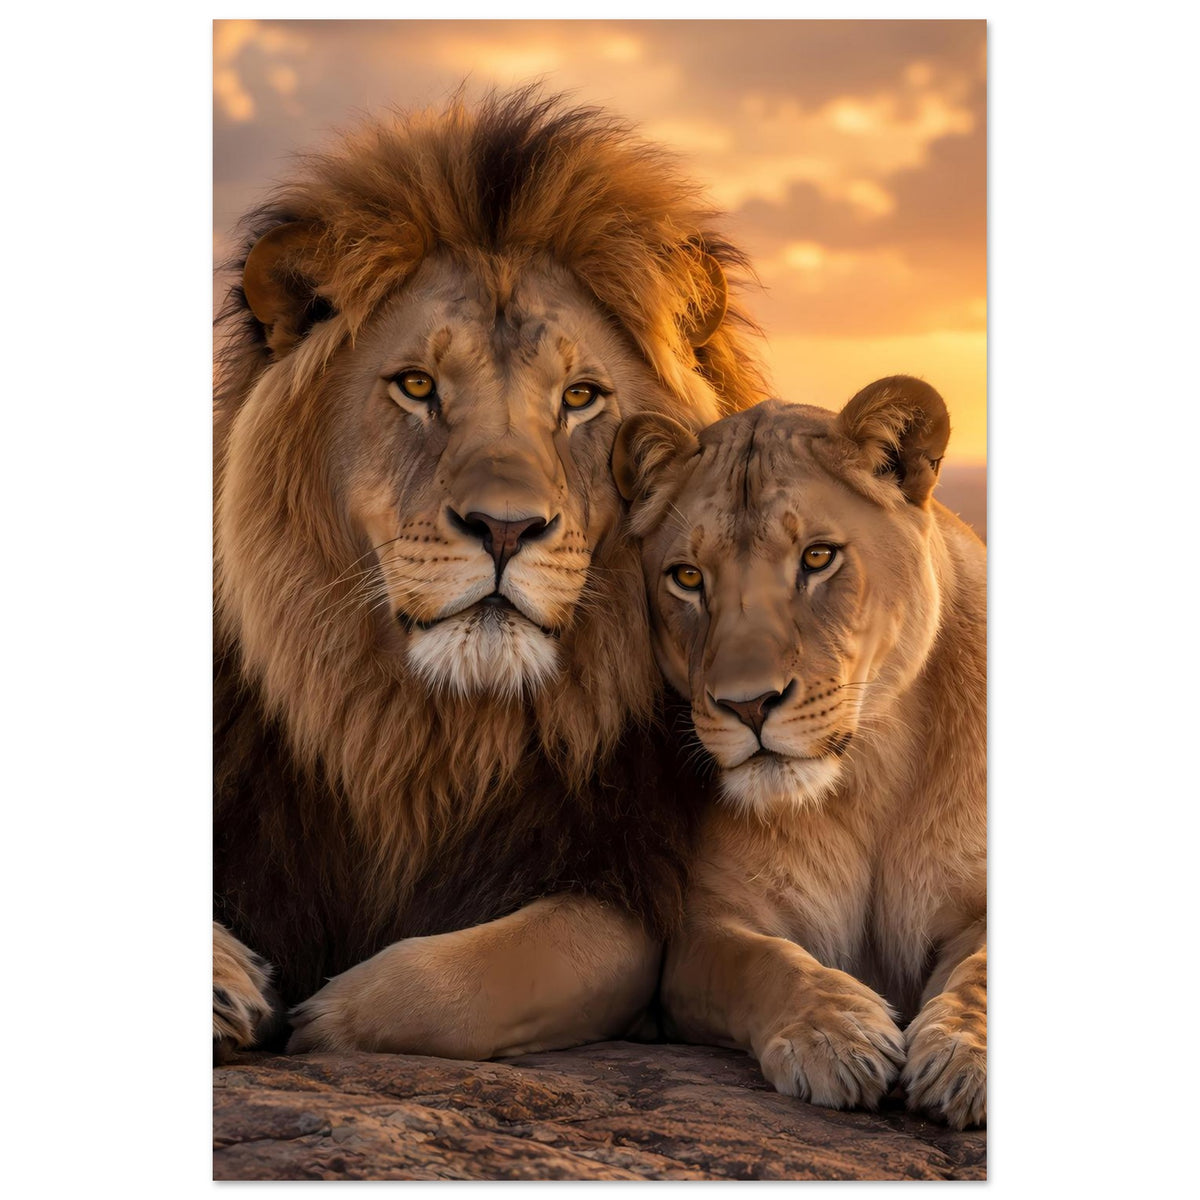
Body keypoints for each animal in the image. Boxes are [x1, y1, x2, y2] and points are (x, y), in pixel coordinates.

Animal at [212, 88, 768, 1060]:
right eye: (416, 386)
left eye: (580, 398)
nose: (505, 528)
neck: (426, 741)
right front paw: (223, 987)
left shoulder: (622, 877)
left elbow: (488, 975)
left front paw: (327, 1016)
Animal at [612, 377, 986, 1128]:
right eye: (687, 577)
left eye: (818, 557)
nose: (749, 705)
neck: (869, 775)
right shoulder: (698, 934)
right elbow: (763, 963)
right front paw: (835, 1037)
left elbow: (984, 968)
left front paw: (962, 1055)